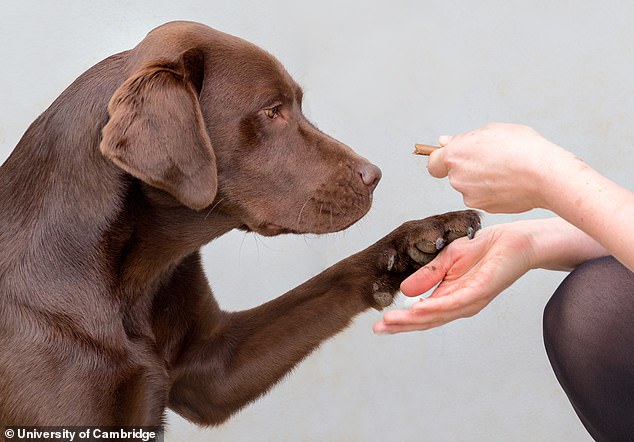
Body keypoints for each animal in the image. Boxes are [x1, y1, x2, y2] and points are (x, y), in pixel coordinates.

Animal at [0, 20, 476, 428]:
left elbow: (332, 278)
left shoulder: (214, 371)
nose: (375, 175)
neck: (131, 278)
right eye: (271, 111)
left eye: (295, 105)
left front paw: (421, 238)